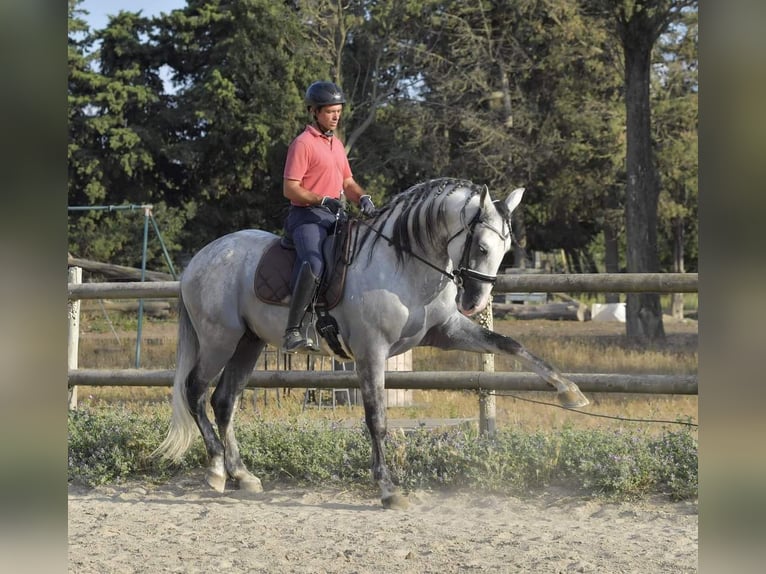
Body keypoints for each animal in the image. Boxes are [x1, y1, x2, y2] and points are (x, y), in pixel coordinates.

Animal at [153, 179, 592, 508]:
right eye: (482, 247)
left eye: (506, 249)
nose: (475, 303)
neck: (404, 264)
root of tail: (201, 259)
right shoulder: (371, 352)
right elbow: (376, 418)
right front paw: (388, 490)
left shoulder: (448, 332)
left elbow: (512, 345)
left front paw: (570, 392)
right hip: (219, 340)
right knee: (195, 390)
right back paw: (215, 469)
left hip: (249, 343)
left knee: (224, 400)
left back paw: (242, 475)